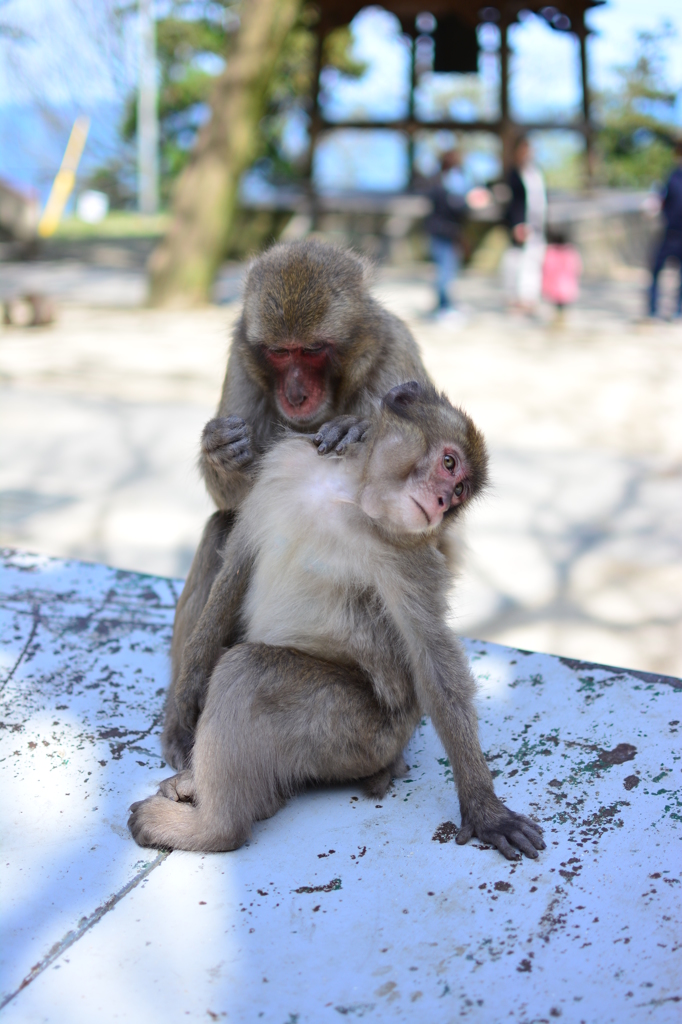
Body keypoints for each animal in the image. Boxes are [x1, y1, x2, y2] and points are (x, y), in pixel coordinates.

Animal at [130, 380, 544, 860]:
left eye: (459, 491)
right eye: (448, 463)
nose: (443, 502)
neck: (348, 491)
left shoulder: (407, 556)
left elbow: (432, 662)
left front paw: (484, 808)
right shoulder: (281, 469)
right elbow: (236, 564)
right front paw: (184, 706)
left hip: (359, 737)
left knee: (249, 670)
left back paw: (214, 828)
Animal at [163, 239, 428, 770]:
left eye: (312, 351)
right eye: (279, 353)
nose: (297, 392)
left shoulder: (396, 360)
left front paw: (354, 429)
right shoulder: (241, 359)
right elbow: (240, 503)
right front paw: (221, 450)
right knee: (222, 525)